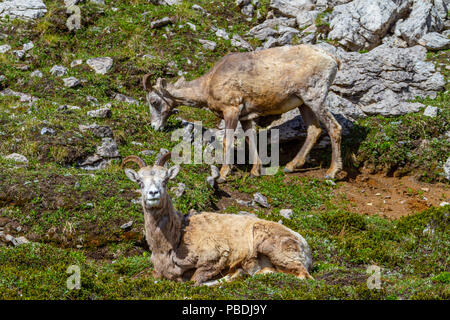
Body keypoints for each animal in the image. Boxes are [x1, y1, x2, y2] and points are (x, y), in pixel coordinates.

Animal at [122, 152, 312, 284]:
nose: (153, 194)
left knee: (303, 276)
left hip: (272, 248)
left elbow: (194, 281)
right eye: (140, 182)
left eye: (165, 180)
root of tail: (304, 245)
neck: (173, 241)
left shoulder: (216, 257)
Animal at [144, 44, 342, 182]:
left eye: (154, 101)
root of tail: (333, 60)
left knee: (334, 128)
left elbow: (228, 141)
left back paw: (331, 173)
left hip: (314, 99)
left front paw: (223, 174)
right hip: (304, 104)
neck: (209, 83)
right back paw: (290, 166)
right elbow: (250, 139)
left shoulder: (231, 110)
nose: (155, 127)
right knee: (314, 130)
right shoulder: (246, 117)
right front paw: (255, 172)